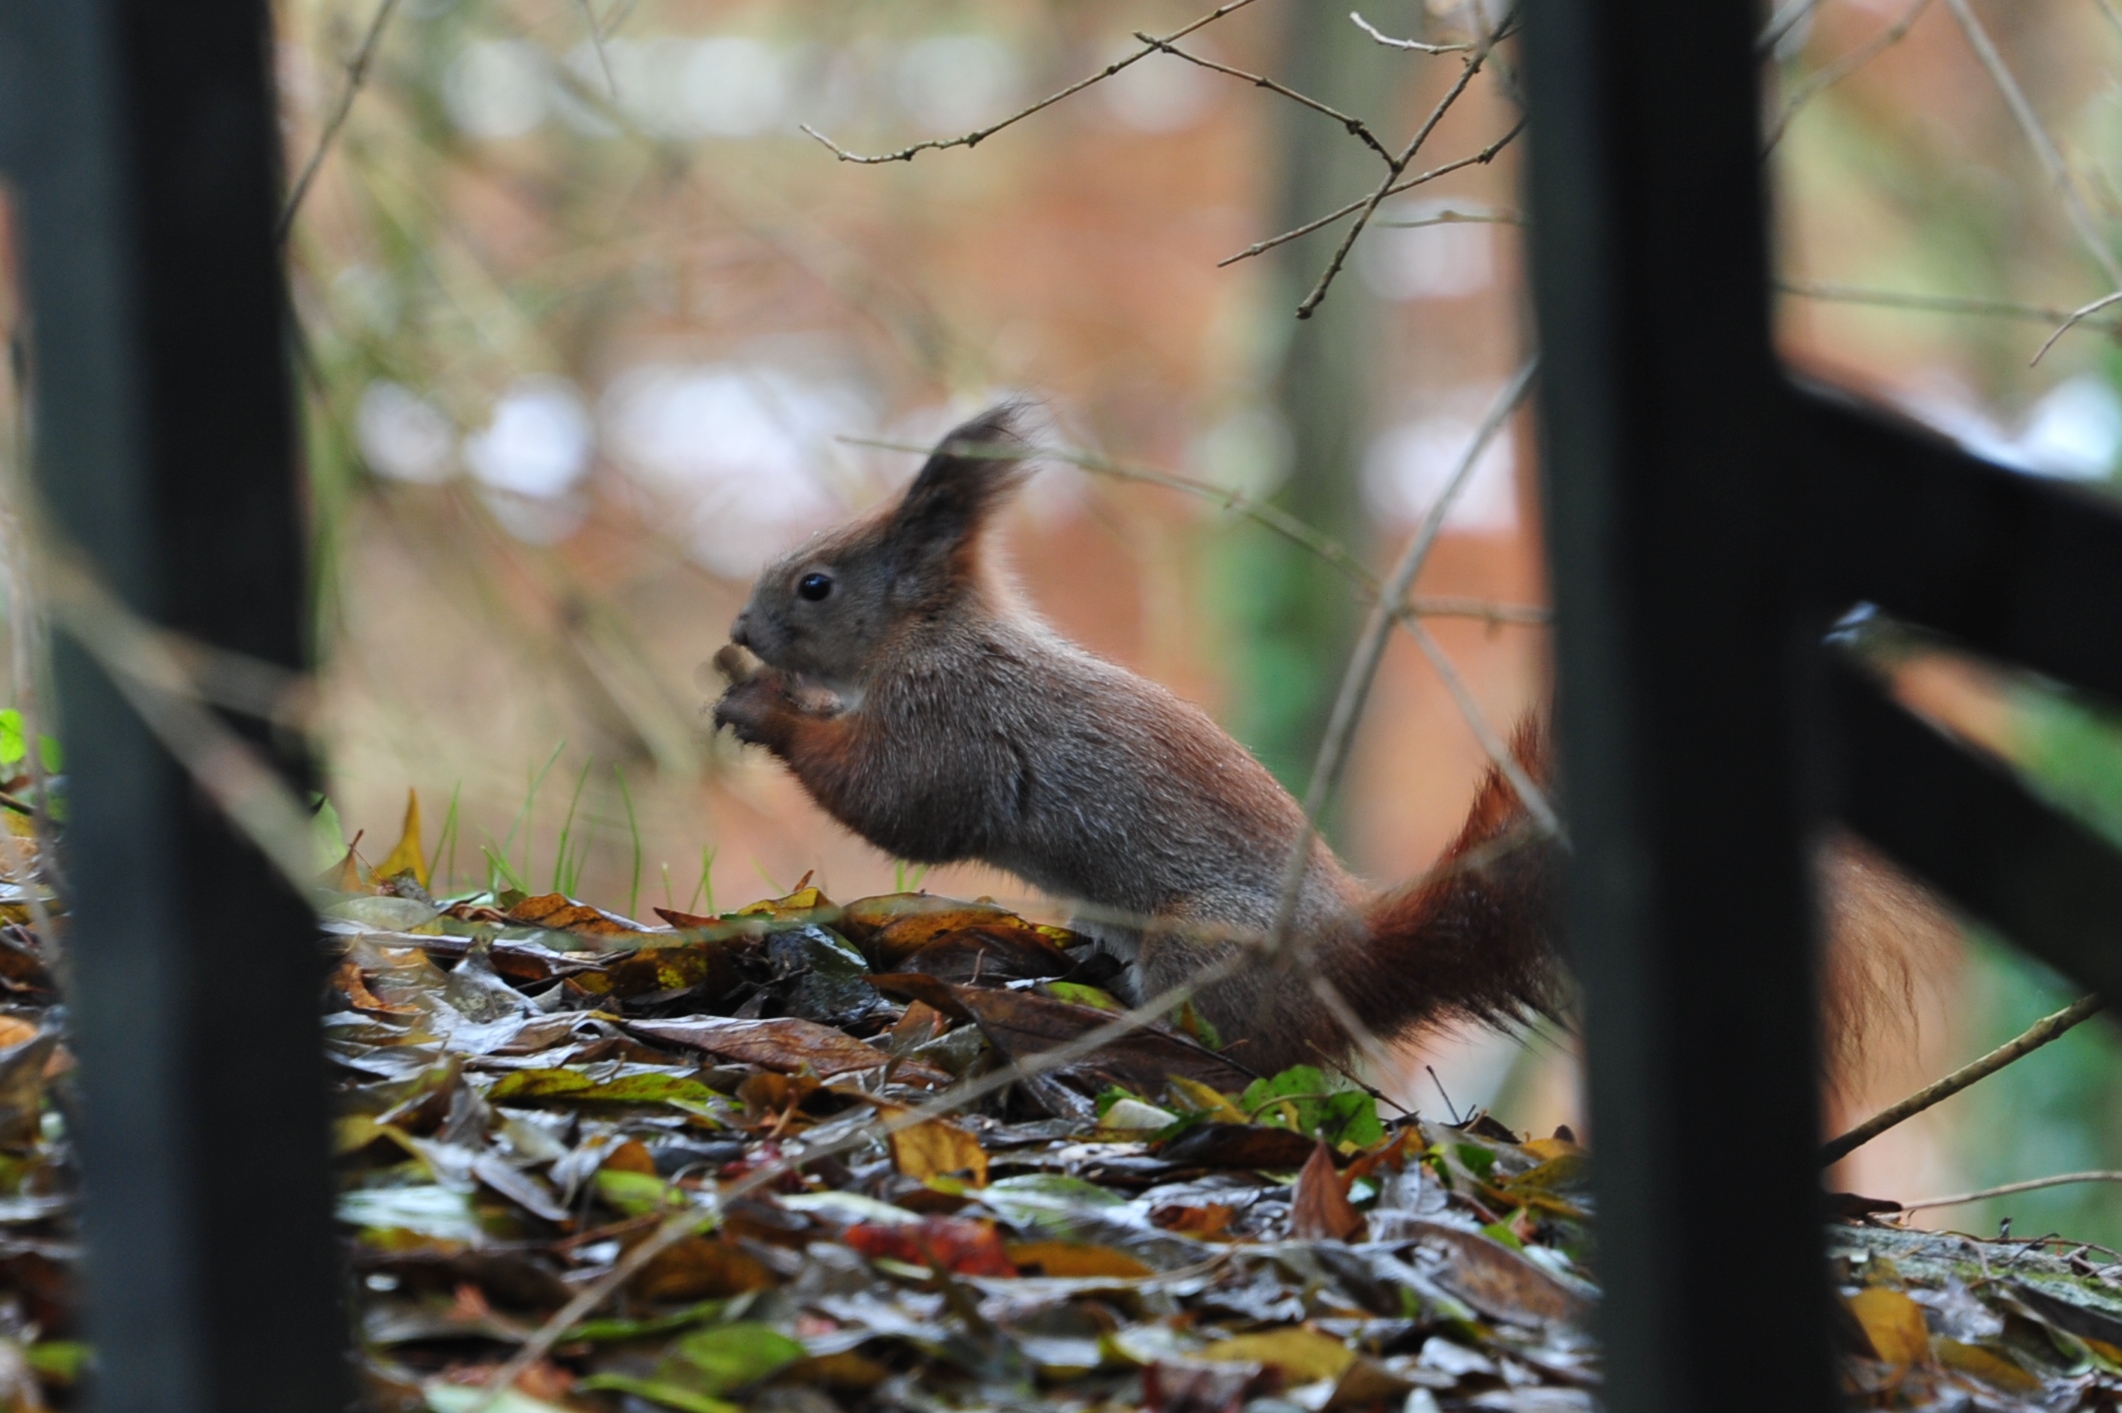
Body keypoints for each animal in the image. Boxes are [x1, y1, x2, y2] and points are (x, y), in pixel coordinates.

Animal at [712, 400, 1952, 1073]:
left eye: (816, 586)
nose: (739, 625)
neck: (932, 634)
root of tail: (1349, 958)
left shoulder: (957, 723)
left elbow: (899, 803)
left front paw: (761, 705)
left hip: (1207, 951)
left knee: (1246, 1049)